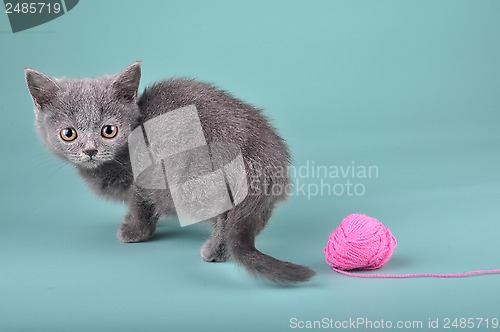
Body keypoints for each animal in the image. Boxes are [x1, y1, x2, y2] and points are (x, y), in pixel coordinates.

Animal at [25, 63, 314, 286]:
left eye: (109, 130)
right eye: (69, 133)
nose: (90, 150)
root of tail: (260, 156)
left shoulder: (144, 179)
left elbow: (141, 205)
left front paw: (133, 231)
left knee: (223, 217)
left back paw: (214, 251)